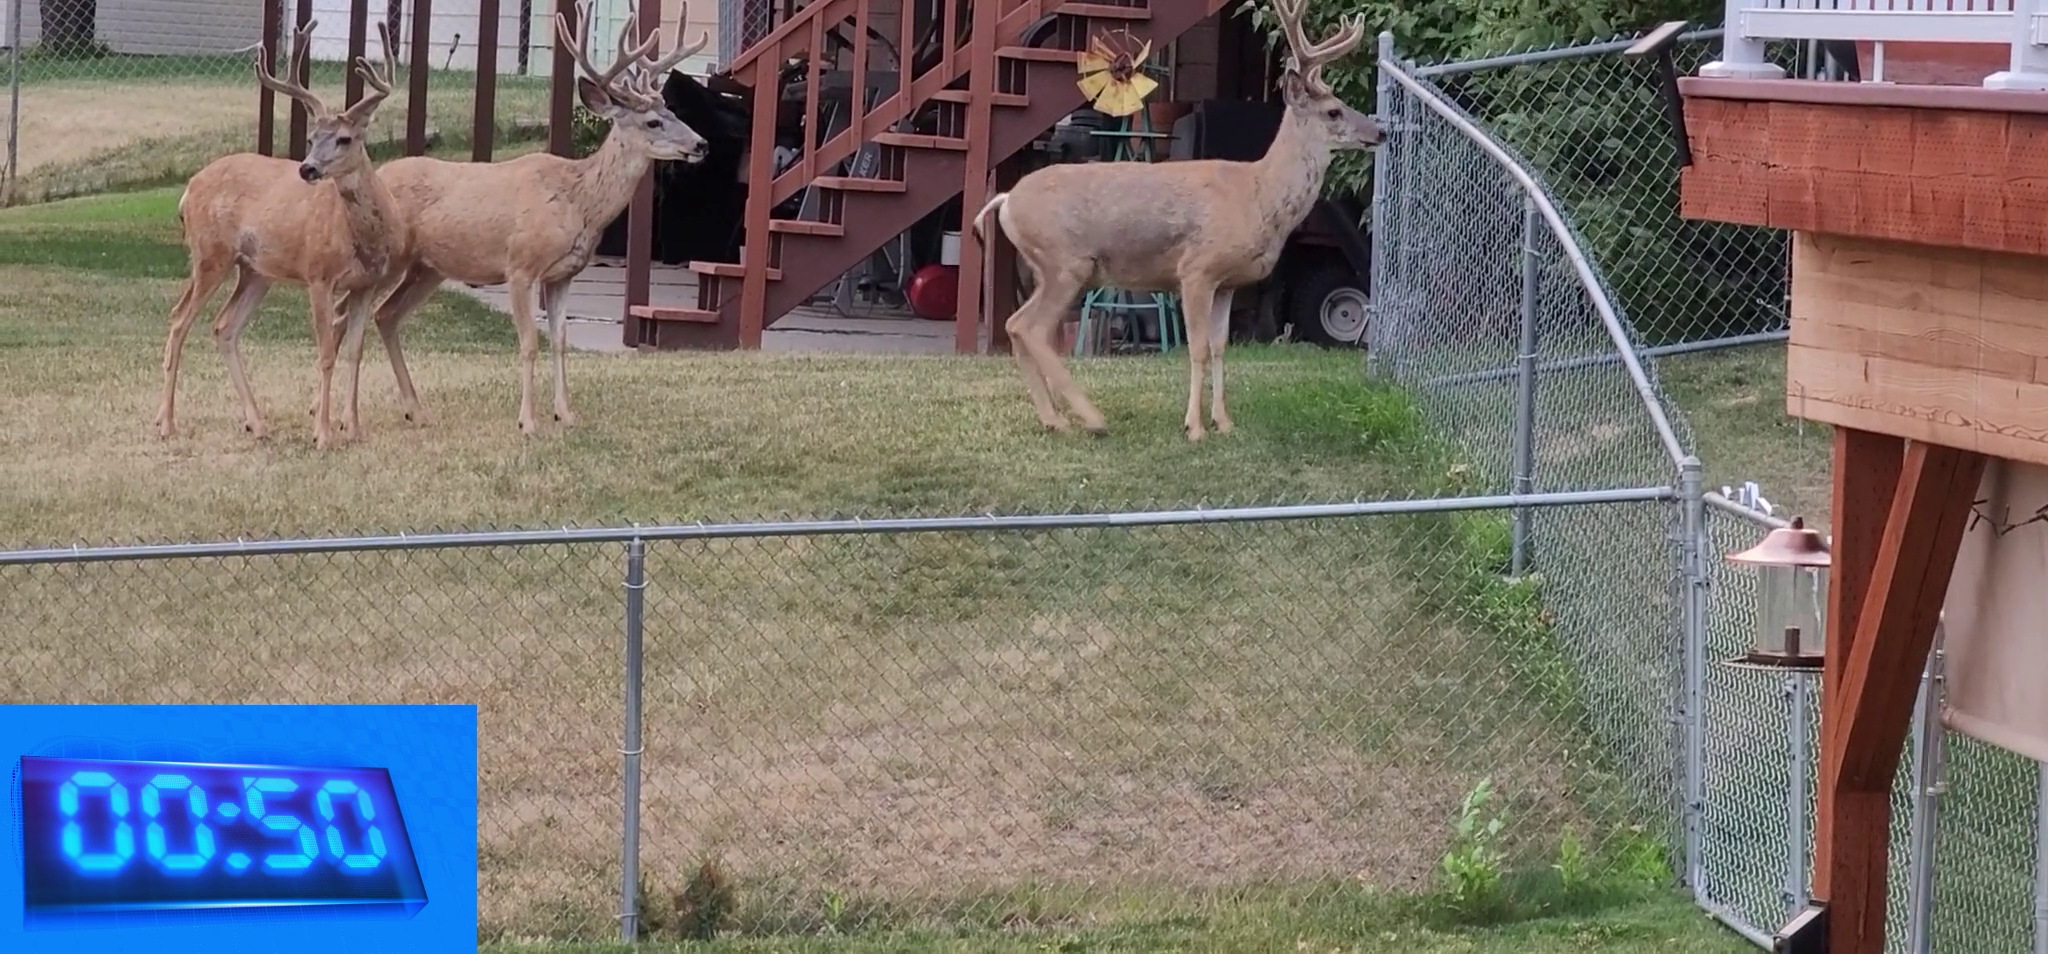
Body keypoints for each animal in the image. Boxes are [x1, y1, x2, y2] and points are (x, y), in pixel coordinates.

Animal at [155, 18, 403, 450]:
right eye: (311, 138)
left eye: (344, 138)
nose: (307, 168)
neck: (360, 237)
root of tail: (187, 191)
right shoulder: (319, 275)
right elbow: (326, 352)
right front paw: (323, 433)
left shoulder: (366, 284)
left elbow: (355, 351)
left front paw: (353, 427)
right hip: (211, 255)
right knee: (179, 319)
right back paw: (168, 422)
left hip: (256, 271)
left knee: (224, 326)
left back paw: (256, 423)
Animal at [356, 2, 716, 436]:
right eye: (653, 122)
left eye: (672, 111)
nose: (702, 143)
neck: (578, 202)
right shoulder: (520, 266)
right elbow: (529, 341)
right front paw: (527, 420)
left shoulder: (562, 274)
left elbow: (559, 339)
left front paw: (566, 413)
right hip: (386, 256)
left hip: (428, 268)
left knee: (385, 316)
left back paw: (416, 409)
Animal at [970, 0, 1376, 444]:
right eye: (1334, 110)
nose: (1381, 131)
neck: (1257, 193)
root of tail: (1006, 200)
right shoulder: (1196, 269)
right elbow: (1196, 348)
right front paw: (1194, 427)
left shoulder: (1228, 283)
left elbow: (1219, 347)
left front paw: (1224, 422)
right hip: (1066, 262)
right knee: (1032, 329)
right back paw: (1092, 418)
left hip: (1051, 269)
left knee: (1015, 324)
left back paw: (1053, 418)